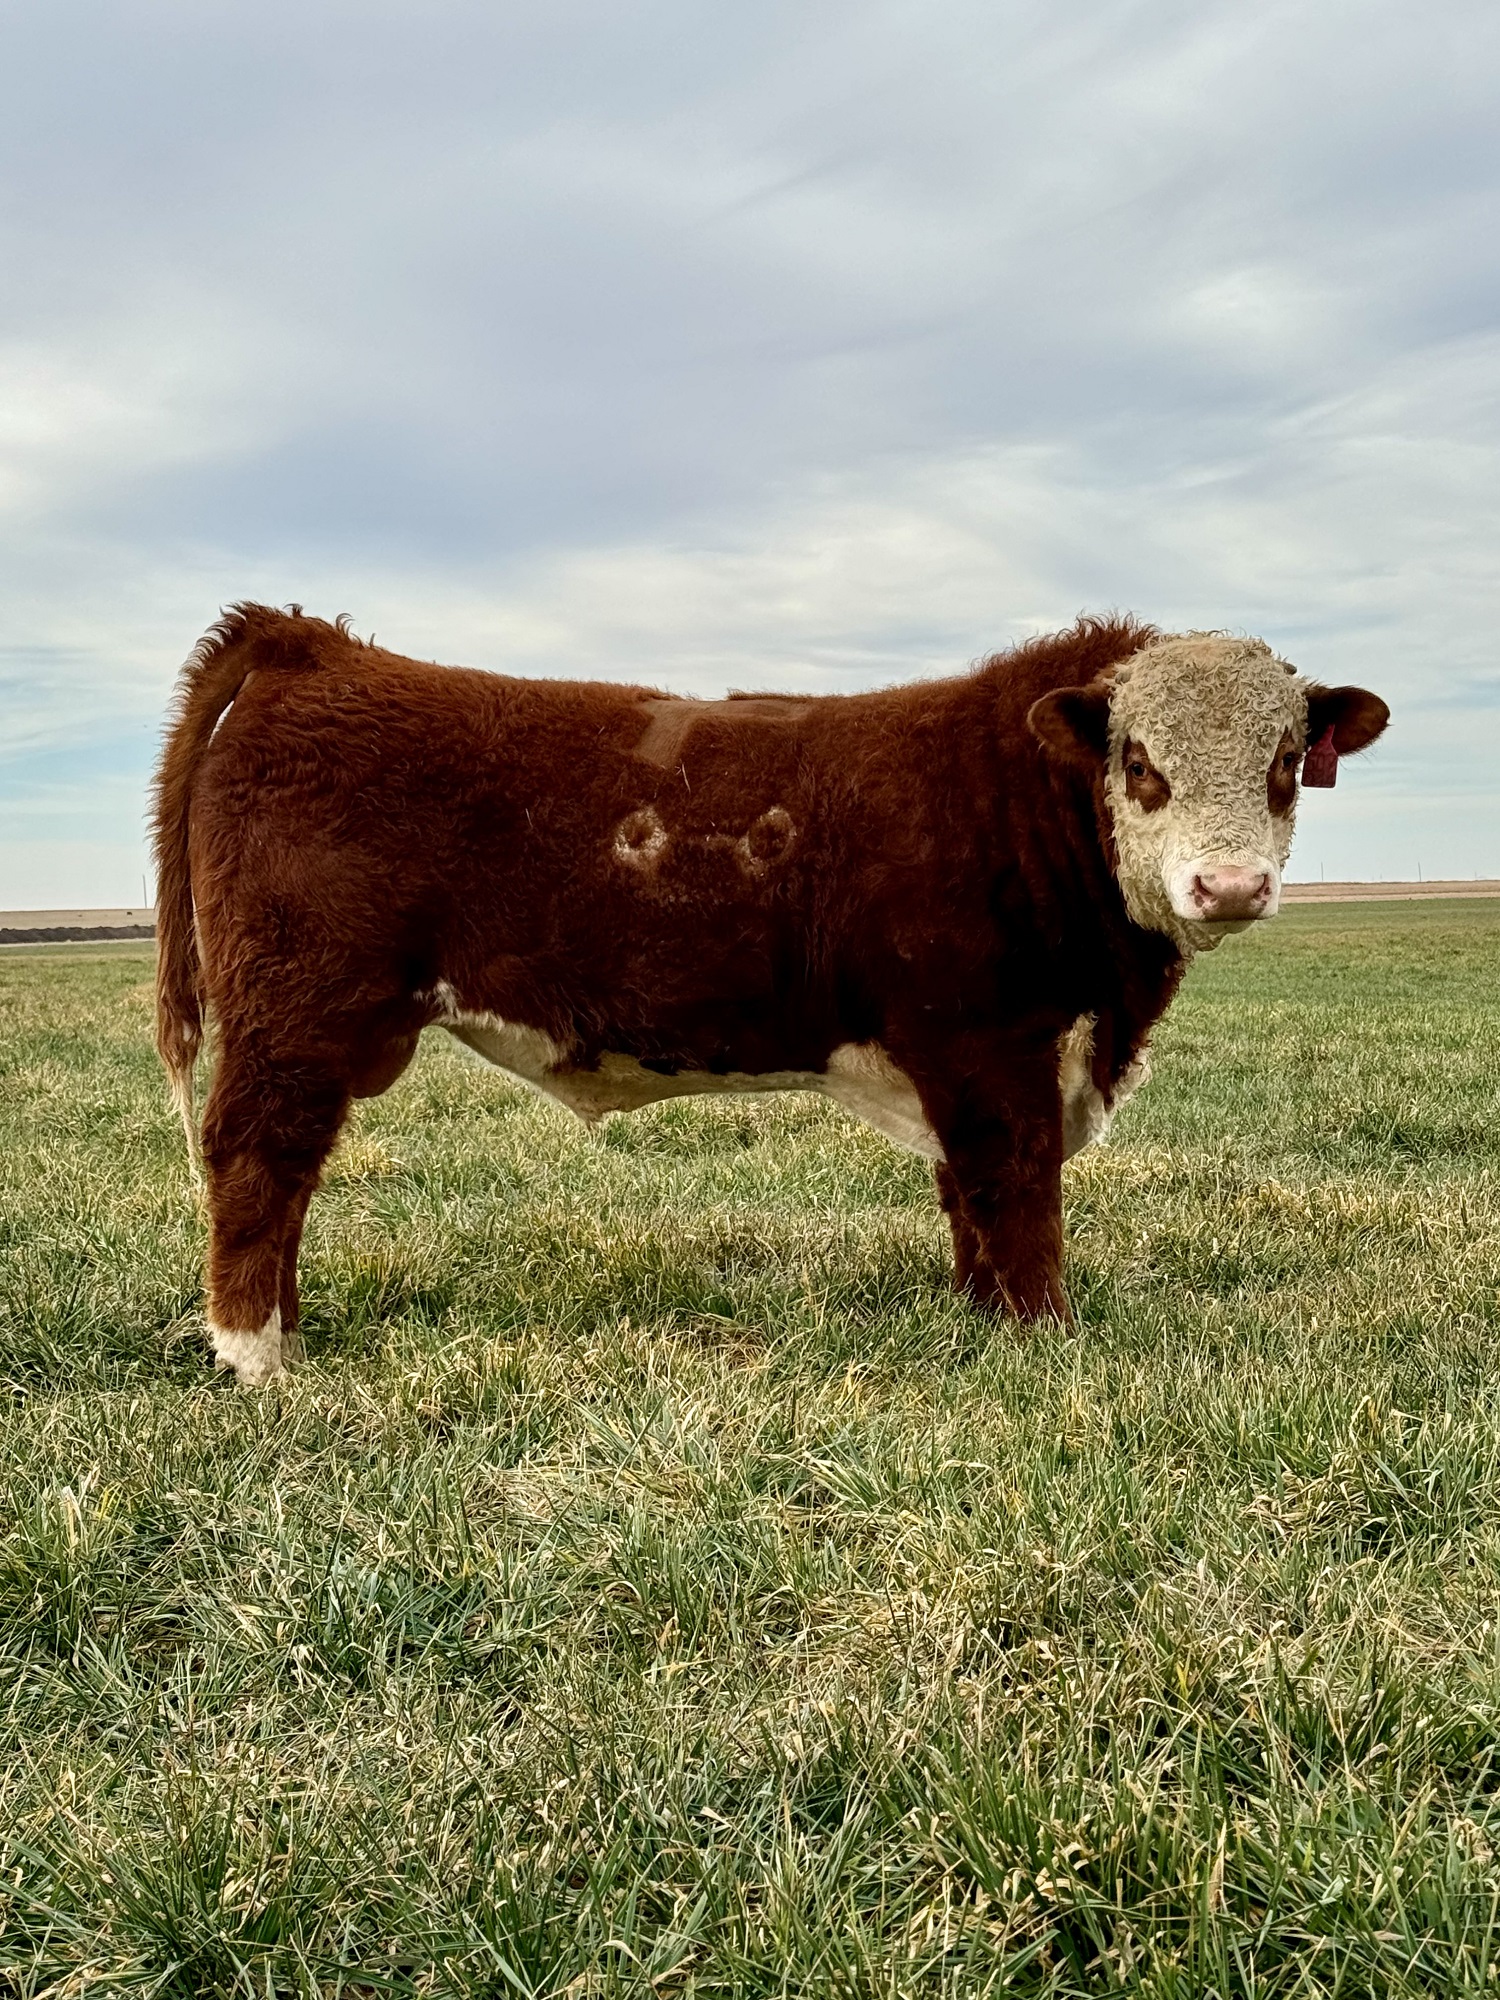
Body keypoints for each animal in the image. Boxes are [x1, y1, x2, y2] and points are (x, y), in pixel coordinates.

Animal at [152, 606, 1387, 1383]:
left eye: (1286, 763)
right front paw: (1043, 1337)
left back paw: (287, 1334)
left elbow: (967, 1196)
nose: (1231, 884)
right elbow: (1017, 1188)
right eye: (1140, 762)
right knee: (258, 1157)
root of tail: (314, 648)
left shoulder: (964, 1058)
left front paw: (979, 1320)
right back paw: (258, 1357)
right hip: (296, 1011)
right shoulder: (988, 1042)